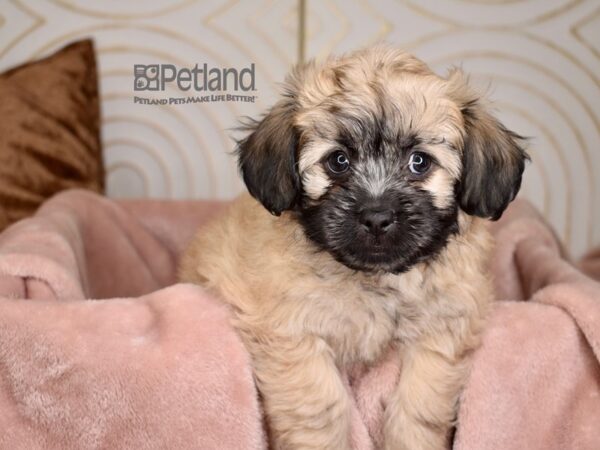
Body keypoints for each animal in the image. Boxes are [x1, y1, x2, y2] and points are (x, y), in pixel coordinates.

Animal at [180, 46, 528, 450]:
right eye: (338, 161)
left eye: (419, 162)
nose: (377, 217)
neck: (373, 279)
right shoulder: (292, 332)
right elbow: (319, 406)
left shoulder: (443, 330)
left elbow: (419, 403)